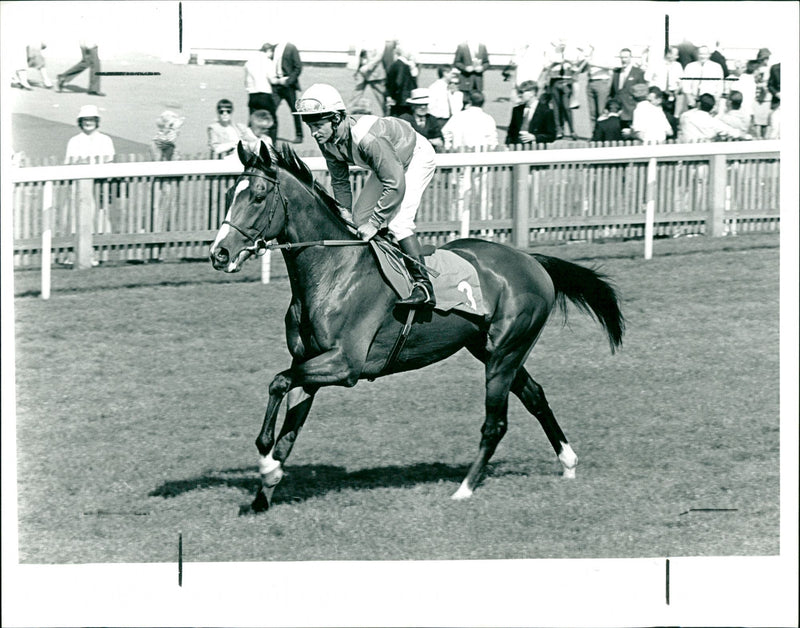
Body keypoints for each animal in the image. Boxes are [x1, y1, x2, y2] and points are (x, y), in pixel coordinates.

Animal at [209, 141, 620, 510]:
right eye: (230, 193)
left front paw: (264, 458)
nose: (219, 254)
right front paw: (263, 493)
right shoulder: (308, 363)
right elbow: (289, 430)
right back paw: (567, 463)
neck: (334, 270)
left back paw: (465, 489)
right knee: (535, 395)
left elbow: (276, 382)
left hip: (506, 351)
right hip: (490, 349)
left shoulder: (345, 364)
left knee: (496, 423)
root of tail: (531, 260)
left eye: (258, 196)